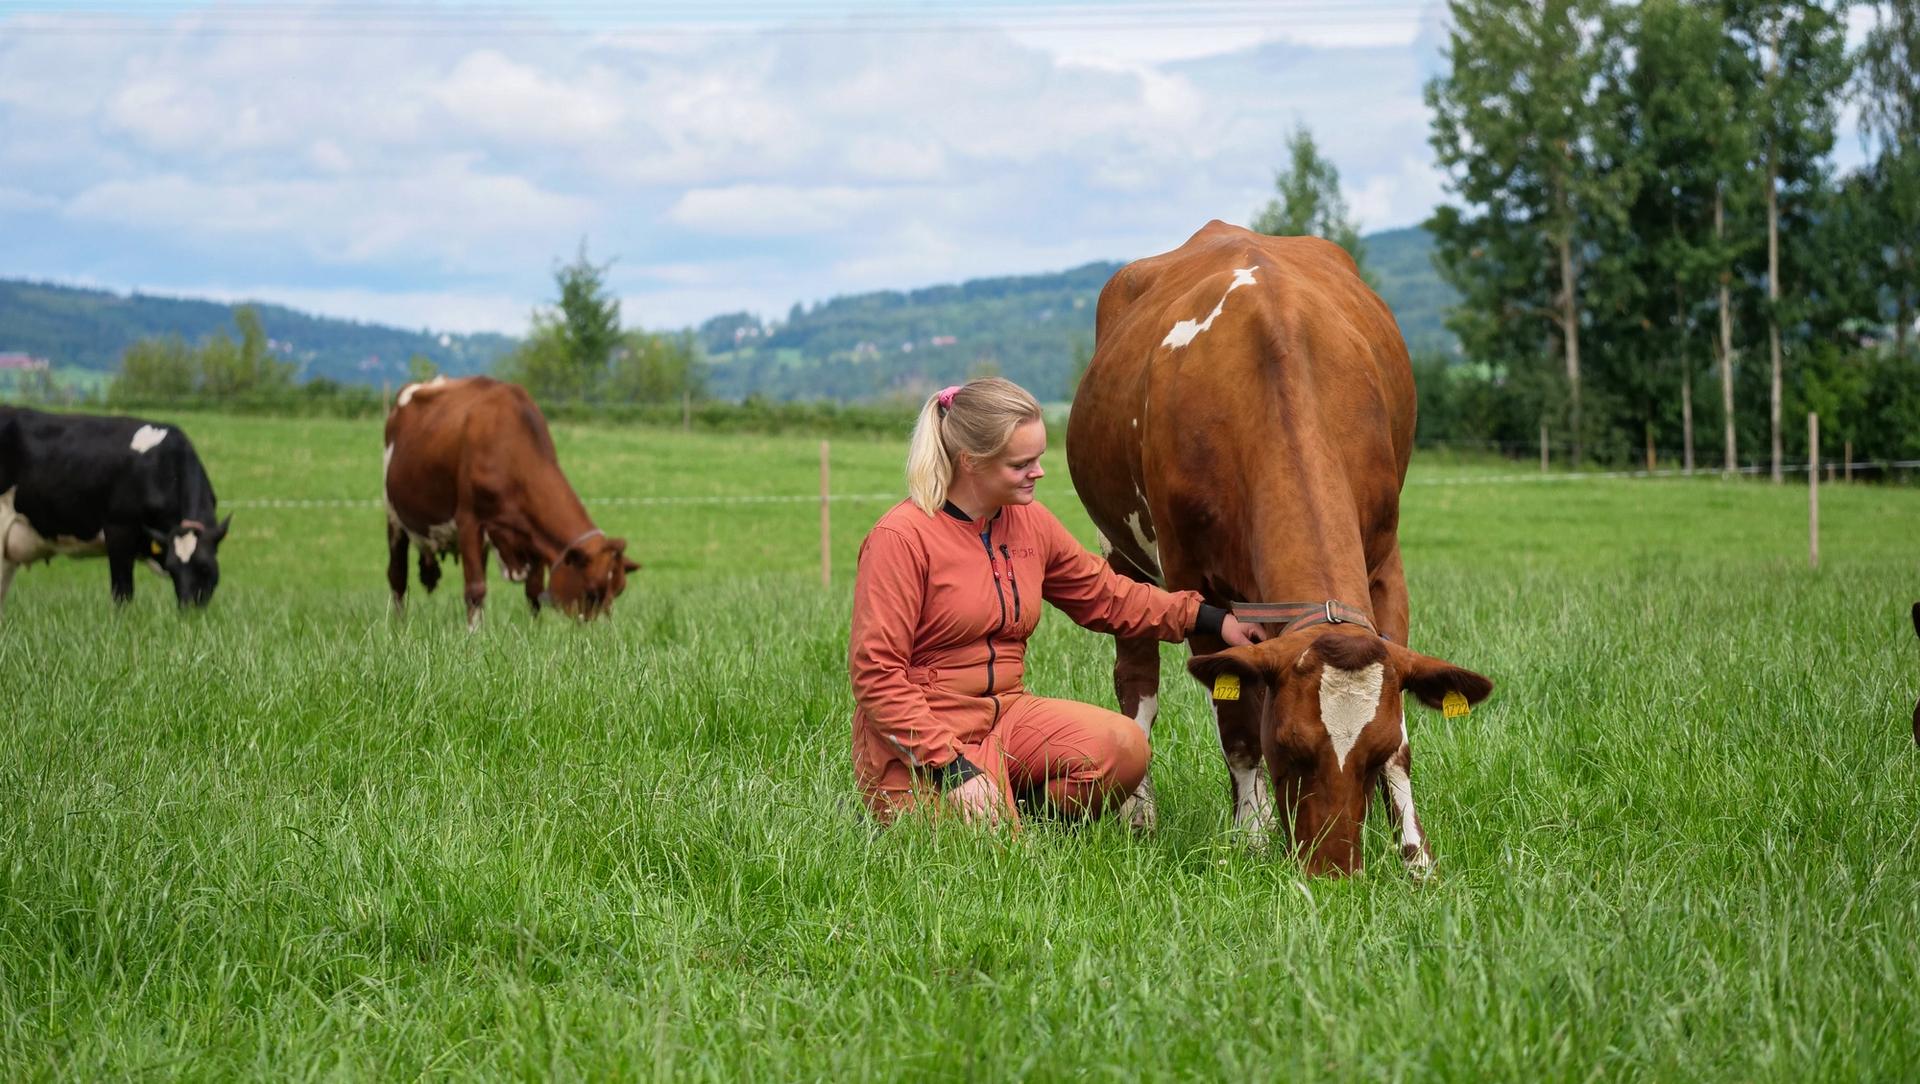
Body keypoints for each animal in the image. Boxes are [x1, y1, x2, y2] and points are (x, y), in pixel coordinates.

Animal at [383, 375, 636, 628]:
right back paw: (398, 624)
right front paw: (474, 632)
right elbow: (475, 589)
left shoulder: (532, 534)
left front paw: (534, 629)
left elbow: (534, 591)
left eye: (619, 590)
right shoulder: (469, 522)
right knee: (397, 578)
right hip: (394, 517)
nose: (604, 631)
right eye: (592, 591)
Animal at [1066, 220, 1494, 877]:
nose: (1335, 873)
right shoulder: (1198, 586)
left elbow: (1404, 733)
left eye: (1371, 757)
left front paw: (1416, 855)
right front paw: (1252, 836)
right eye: (1290, 749)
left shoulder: (1384, 562)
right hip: (1120, 548)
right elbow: (1237, 721)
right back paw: (1142, 816)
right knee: (1136, 680)